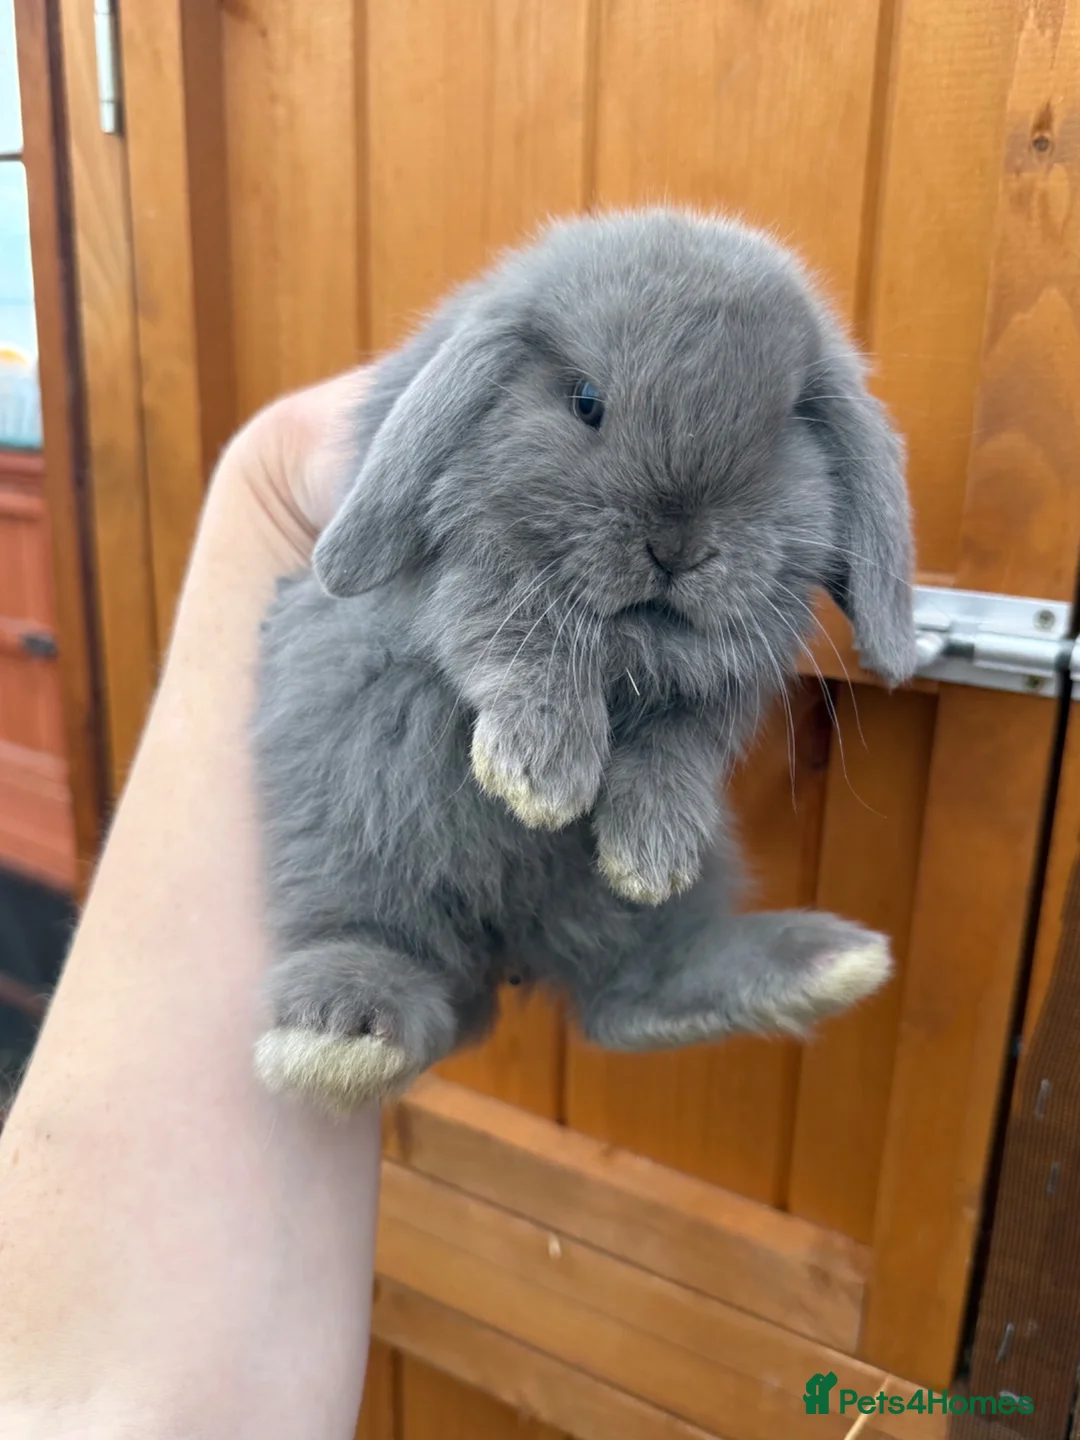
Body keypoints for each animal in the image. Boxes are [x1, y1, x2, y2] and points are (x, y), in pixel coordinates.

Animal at [251, 207, 917, 1113]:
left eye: (786, 427)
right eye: (586, 402)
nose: (677, 546)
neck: (629, 645)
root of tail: (514, 947)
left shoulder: (721, 683)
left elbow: (678, 744)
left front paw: (650, 850)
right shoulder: (455, 590)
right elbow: (506, 624)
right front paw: (543, 775)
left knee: (625, 993)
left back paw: (812, 965)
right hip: (346, 822)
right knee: (377, 941)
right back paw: (341, 1032)